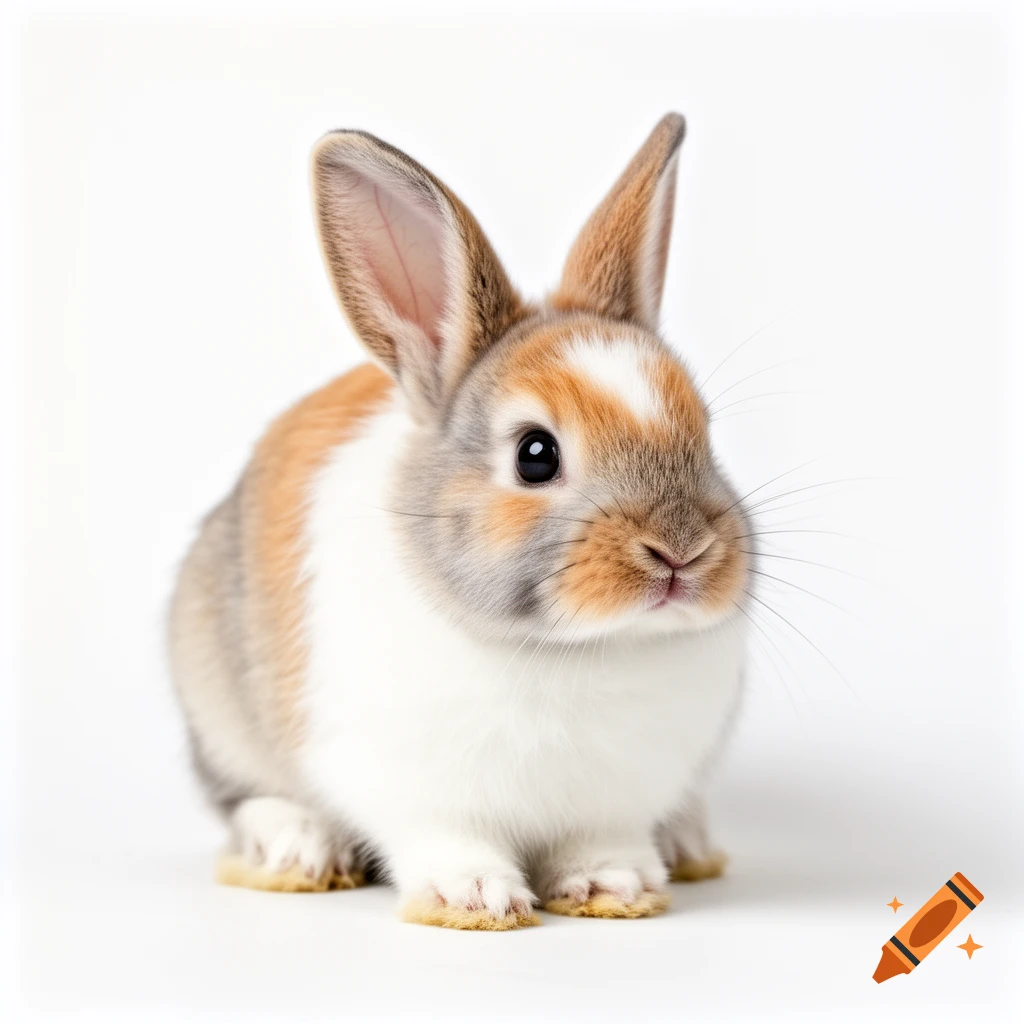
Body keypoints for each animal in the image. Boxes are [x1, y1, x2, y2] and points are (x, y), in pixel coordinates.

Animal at [168, 112, 750, 930]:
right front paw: (474, 897)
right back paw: (301, 850)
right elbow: (446, 840)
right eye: (535, 455)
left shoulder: (615, 800)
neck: (573, 650)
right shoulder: (414, 790)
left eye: (704, 432)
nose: (683, 550)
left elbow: (602, 841)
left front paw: (613, 887)